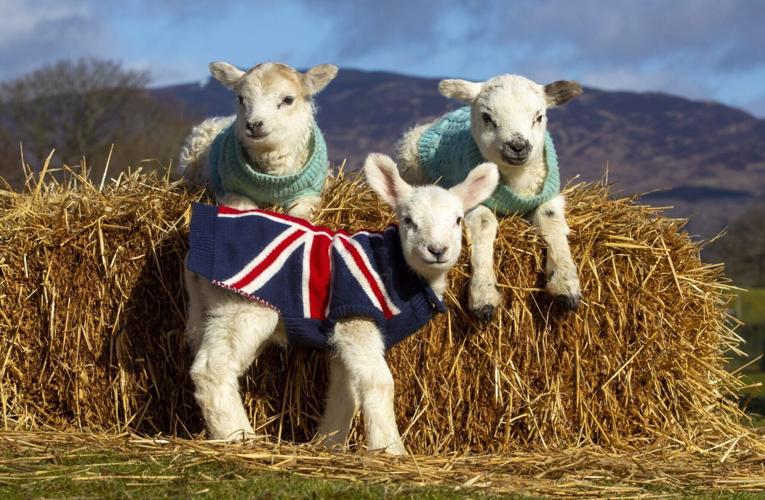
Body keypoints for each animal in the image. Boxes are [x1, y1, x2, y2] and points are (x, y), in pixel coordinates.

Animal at [175, 61, 338, 220]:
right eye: (240, 99)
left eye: (288, 99)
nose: (253, 124)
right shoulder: (232, 192)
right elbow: (248, 208)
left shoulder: (308, 194)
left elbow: (301, 215)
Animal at [182, 153, 499, 455]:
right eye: (408, 220)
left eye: (457, 220)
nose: (437, 250)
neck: (400, 269)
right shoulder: (356, 318)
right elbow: (378, 382)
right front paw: (389, 447)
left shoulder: (339, 336)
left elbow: (345, 392)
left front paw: (328, 444)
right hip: (243, 306)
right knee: (212, 369)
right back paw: (238, 436)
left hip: (214, 309)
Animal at [397, 74, 583, 321]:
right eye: (487, 117)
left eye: (539, 116)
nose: (518, 145)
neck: (516, 181)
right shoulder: (471, 202)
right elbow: (484, 224)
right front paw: (483, 294)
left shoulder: (547, 196)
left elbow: (550, 219)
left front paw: (565, 282)